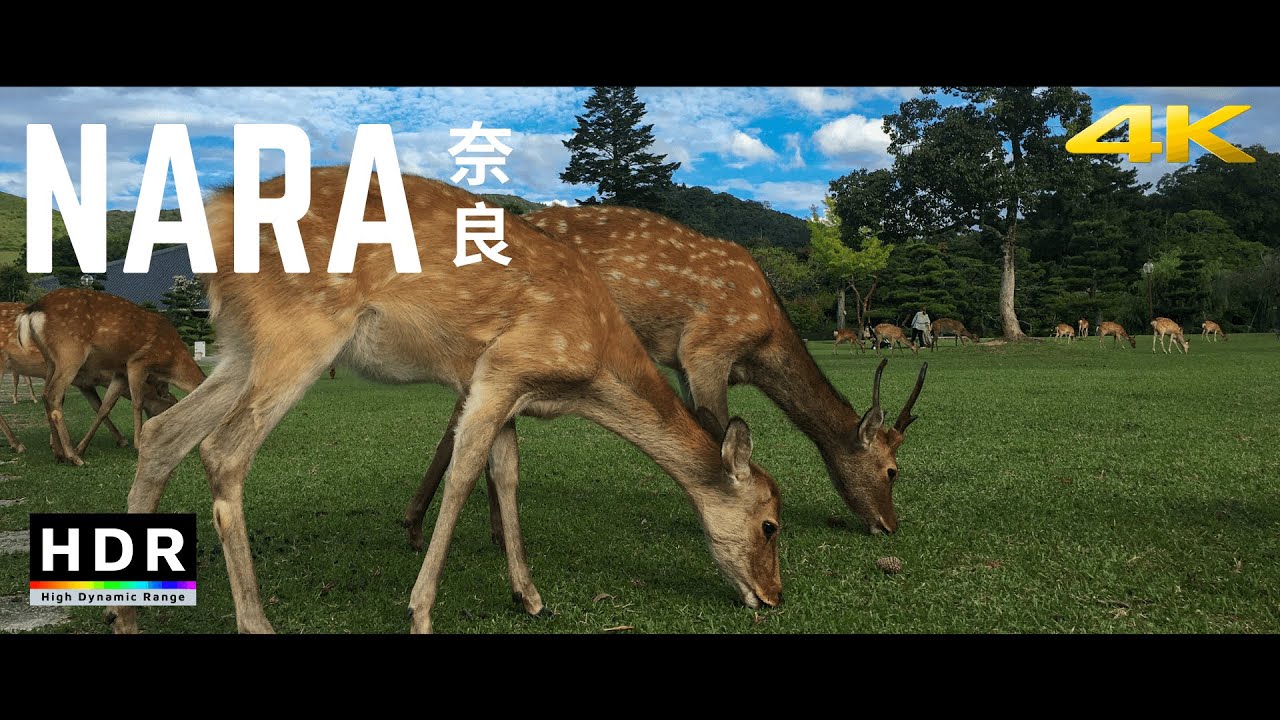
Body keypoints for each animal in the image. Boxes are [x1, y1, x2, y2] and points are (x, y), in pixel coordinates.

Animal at [17, 289, 206, 466]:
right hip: (70, 352)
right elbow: (137, 403)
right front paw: (137, 445)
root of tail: (31, 311)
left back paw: (59, 453)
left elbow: (104, 408)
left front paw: (82, 447)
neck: (171, 361)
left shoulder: (120, 372)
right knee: (53, 395)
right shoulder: (137, 362)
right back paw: (73, 457)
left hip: (50, 359)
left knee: (45, 395)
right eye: (172, 409)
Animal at [108, 167, 783, 635]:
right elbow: (462, 477)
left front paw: (529, 596)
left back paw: (126, 616)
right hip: (299, 331)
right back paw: (256, 621)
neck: (587, 372)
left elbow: (506, 475)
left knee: (164, 433)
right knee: (223, 450)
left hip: (241, 345)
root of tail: (215, 215)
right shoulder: (504, 368)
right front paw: (422, 612)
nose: (773, 597)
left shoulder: (503, 389)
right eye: (772, 524)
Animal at [403, 204, 927, 551]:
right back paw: (421, 524)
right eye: (892, 471)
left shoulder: (683, 365)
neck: (762, 343)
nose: (891, 525)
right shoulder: (707, 349)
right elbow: (719, 430)